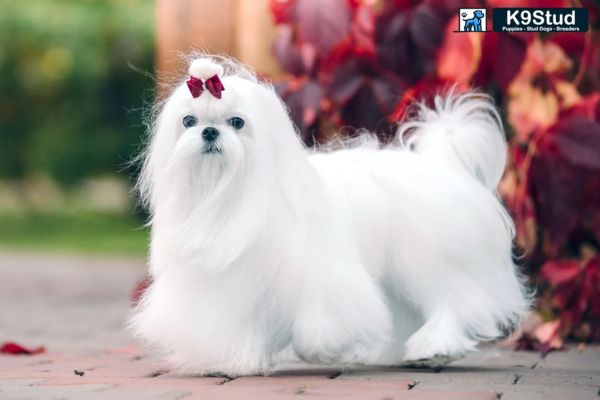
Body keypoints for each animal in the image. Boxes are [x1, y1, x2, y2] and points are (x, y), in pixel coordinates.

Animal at [130, 55, 528, 376]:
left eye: (237, 122)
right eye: (188, 121)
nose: (210, 131)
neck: (231, 197)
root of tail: (441, 163)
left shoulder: (323, 278)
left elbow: (321, 321)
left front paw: (324, 350)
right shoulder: (233, 283)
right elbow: (240, 323)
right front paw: (236, 361)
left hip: (434, 258)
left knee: (455, 298)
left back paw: (435, 345)